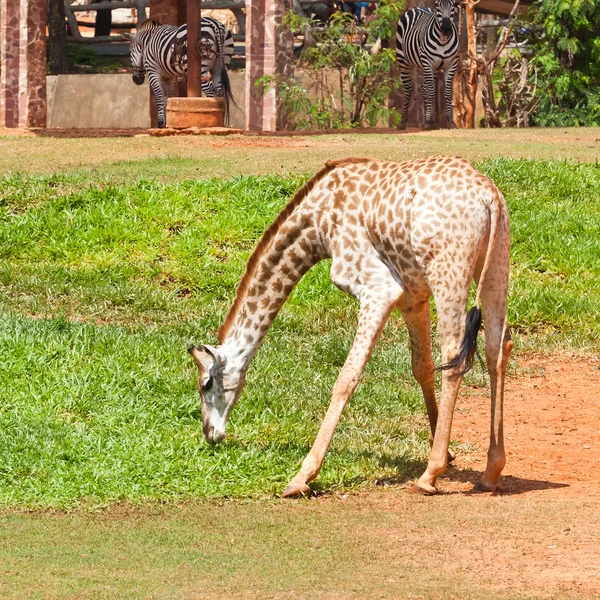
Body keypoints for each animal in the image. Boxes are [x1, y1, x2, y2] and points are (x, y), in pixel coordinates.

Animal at [188, 156, 510, 496]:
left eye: (205, 384)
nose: (210, 434)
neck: (317, 223)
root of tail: (489, 196)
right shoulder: (413, 298)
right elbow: (421, 367)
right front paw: (447, 454)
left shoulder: (379, 288)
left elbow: (346, 377)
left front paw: (303, 476)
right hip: (496, 262)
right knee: (497, 347)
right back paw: (491, 472)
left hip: (448, 268)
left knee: (454, 352)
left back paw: (428, 477)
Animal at [394, 0, 460, 129]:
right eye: (437, 5)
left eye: (453, 5)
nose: (446, 29)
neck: (443, 40)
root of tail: (418, 8)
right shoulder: (428, 63)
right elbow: (430, 91)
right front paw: (429, 121)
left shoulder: (452, 65)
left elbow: (448, 92)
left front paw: (450, 121)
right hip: (404, 60)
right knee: (408, 88)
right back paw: (403, 122)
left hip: (433, 68)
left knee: (424, 87)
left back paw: (429, 120)